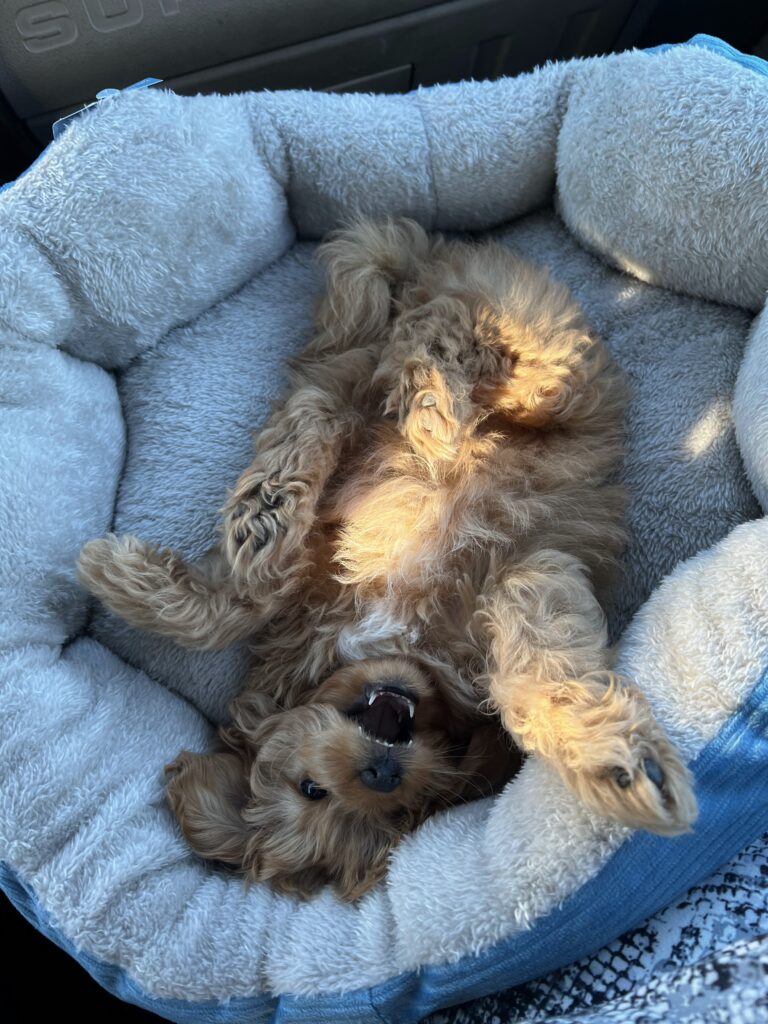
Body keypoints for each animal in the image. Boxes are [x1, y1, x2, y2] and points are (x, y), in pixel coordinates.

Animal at [78, 218, 696, 905]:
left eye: (396, 807)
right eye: (315, 791)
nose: (381, 771)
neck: (398, 648)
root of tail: (438, 254)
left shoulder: (512, 576)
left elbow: (535, 664)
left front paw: (613, 762)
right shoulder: (324, 585)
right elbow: (242, 599)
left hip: (545, 356)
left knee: (443, 338)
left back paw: (429, 405)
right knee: (335, 387)